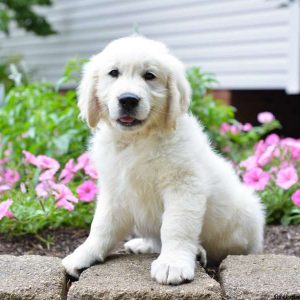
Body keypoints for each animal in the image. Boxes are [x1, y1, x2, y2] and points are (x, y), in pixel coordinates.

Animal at [62, 34, 264, 284]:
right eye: (113, 73)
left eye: (149, 75)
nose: (128, 100)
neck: (138, 139)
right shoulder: (114, 189)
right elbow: (101, 225)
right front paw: (83, 254)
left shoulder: (183, 185)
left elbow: (175, 226)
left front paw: (173, 264)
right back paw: (143, 244)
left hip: (245, 217)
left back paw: (199, 251)